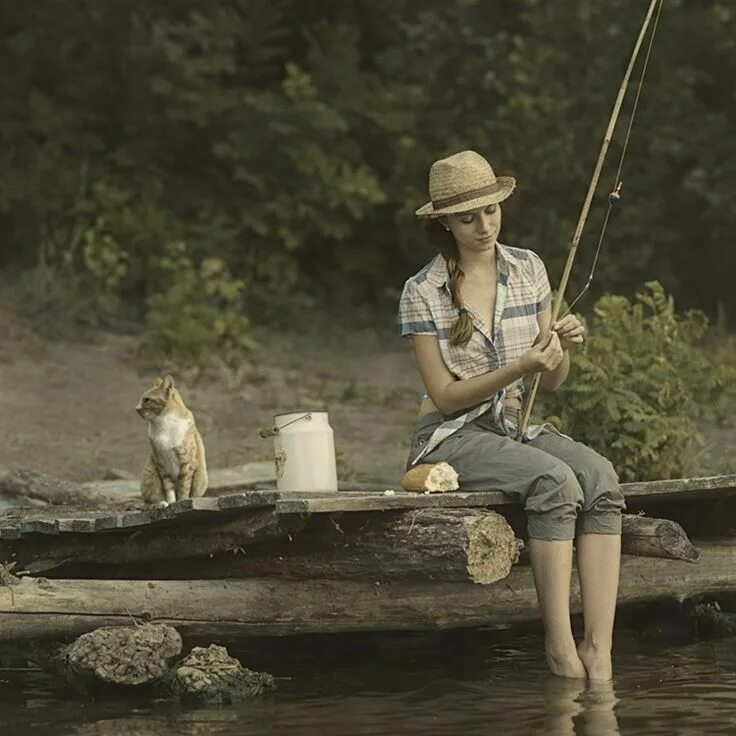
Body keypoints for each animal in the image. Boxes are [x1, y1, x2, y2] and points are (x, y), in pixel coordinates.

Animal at [136, 374, 208, 506]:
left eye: (147, 400)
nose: (136, 408)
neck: (163, 422)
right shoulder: (161, 462)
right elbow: (168, 487)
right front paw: (171, 503)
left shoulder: (186, 461)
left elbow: (184, 485)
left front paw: (182, 500)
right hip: (149, 476)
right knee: (148, 501)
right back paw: (160, 504)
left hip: (202, 478)